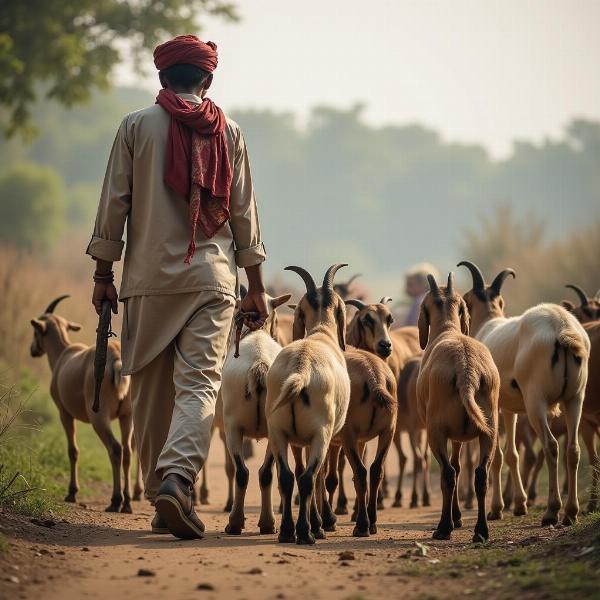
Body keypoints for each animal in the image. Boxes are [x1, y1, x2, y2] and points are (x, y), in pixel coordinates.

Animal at [31, 296, 142, 510]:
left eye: (35, 331)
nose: (33, 350)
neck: (64, 354)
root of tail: (116, 361)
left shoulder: (64, 413)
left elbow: (73, 450)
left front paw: (72, 492)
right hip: (128, 415)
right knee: (128, 450)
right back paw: (127, 503)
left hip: (99, 415)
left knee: (115, 448)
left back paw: (116, 501)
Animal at [221, 290, 294, 536]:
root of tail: (259, 363)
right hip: (275, 428)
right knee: (266, 473)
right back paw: (268, 523)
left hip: (232, 426)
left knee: (242, 472)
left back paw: (235, 523)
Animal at [414, 274, 500, 540]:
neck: (447, 329)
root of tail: (466, 371)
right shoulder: (460, 436)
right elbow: (461, 465)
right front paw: (460, 516)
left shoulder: (445, 432)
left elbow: (454, 468)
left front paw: (455, 518)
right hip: (489, 430)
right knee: (481, 474)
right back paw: (481, 530)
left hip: (436, 431)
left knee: (448, 473)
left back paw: (444, 527)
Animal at [458, 260, 588, 524]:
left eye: (466, 300)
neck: (488, 326)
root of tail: (562, 328)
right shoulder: (509, 408)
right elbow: (511, 455)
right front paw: (518, 504)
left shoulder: (493, 406)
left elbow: (496, 455)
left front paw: (497, 509)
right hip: (575, 398)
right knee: (572, 449)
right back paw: (570, 512)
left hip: (536, 402)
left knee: (551, 446)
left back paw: (551, 511)